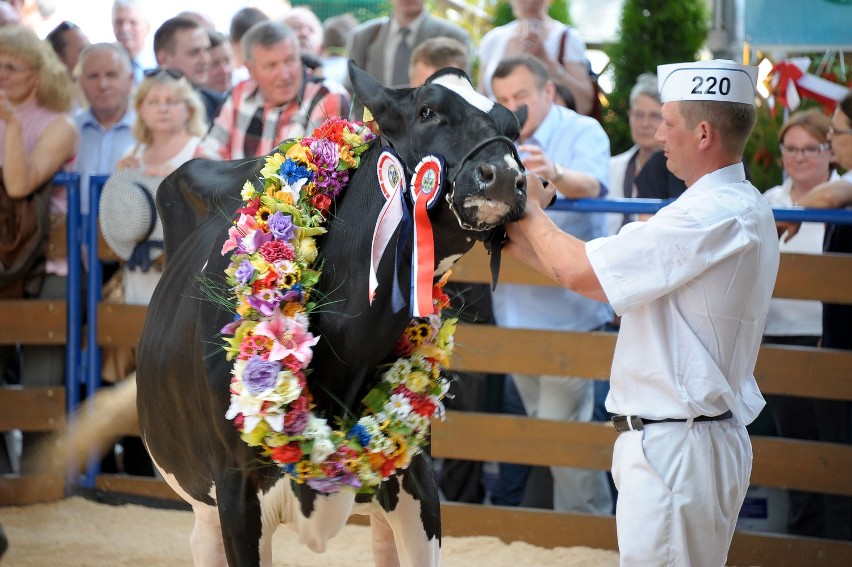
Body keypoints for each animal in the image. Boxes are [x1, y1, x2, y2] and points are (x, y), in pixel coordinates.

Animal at [138, 63, 524, 567]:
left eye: (513, 128)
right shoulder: (234, 489)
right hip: (202, 502)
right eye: (428, 110)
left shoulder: (416, 475)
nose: (505, 176)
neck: (351, 347)